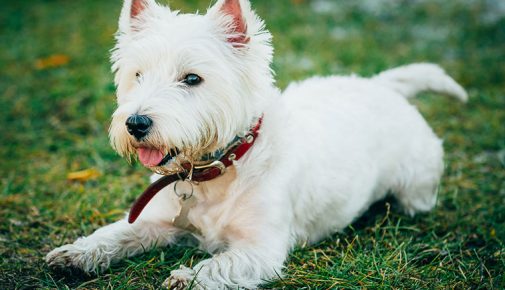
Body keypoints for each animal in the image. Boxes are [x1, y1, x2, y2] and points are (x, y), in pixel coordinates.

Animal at [45, 0, 466, 288]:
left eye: (192, 78)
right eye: (138, 75)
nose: (135, 123)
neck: (216, 170)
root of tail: (382, 86)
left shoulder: (261, 249)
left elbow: (221, 265)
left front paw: (186, 278)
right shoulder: (155, 222)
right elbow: (116, 233)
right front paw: (75, 254)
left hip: (416, 187)